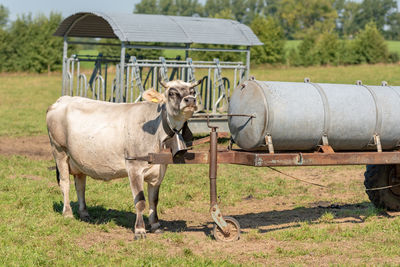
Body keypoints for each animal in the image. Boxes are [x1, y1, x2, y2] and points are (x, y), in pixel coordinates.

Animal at [46, 78, 202, 240]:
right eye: (172, 92)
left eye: (192, 91)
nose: (190, 100)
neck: (157, 130)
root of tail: (62, 100)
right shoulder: (134, 167)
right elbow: (140, 202)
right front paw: (140, 230)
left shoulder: (159, 170)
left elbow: (154, 200)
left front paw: (155, 225)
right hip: (59, 151)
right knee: (65, 183)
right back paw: (68, 213)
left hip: (79, 159)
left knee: (80, 185)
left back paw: (84, 213)